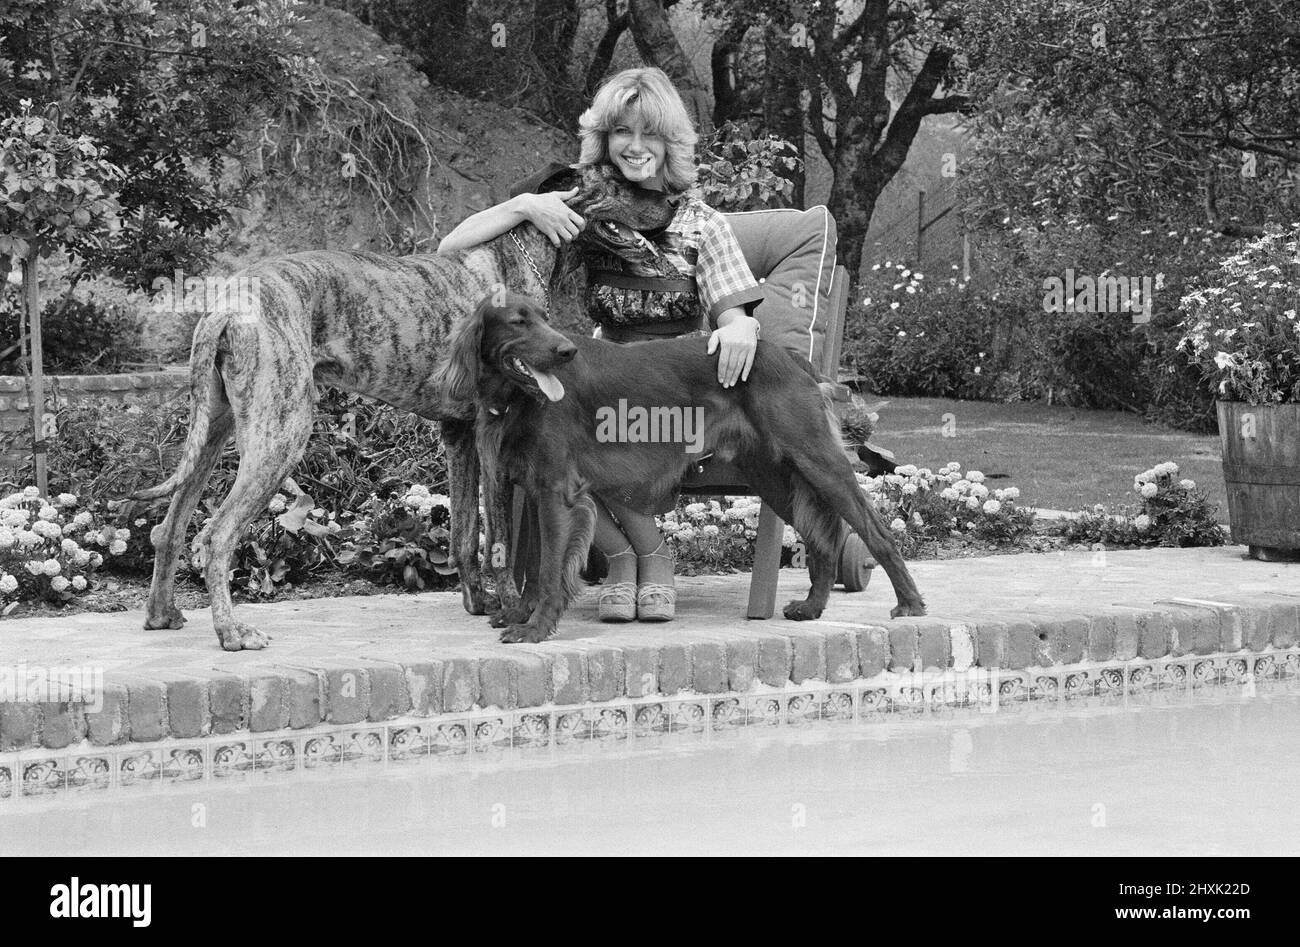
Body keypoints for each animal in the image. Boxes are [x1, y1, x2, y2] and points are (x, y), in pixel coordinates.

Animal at [137, 164, 676, 650]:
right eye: (618, 180)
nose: (672, 201)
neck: (521, 252)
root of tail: (227, 304)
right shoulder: (493, 441)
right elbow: (499, 541)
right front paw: (512, 611)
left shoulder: (460, 436)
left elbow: (464, 533)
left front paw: (479, 603)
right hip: (281, 433)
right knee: (216, 536)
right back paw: (232, 632)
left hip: (214, 428)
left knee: (170, 526)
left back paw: (163, 614)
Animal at [441, 292, 930, 640]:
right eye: (519, 321)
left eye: (544, 317)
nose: (565, 352)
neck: (518, 397)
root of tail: (788, 356)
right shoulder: (528, 486)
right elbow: (530, 565)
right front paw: (520, 614)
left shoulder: (557, 491)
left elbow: (546, 570)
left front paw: (536, 628)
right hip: (775, 477)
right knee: (823, 540)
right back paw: (812, 608)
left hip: (817, 461)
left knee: (874, 531)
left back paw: (910, 604)